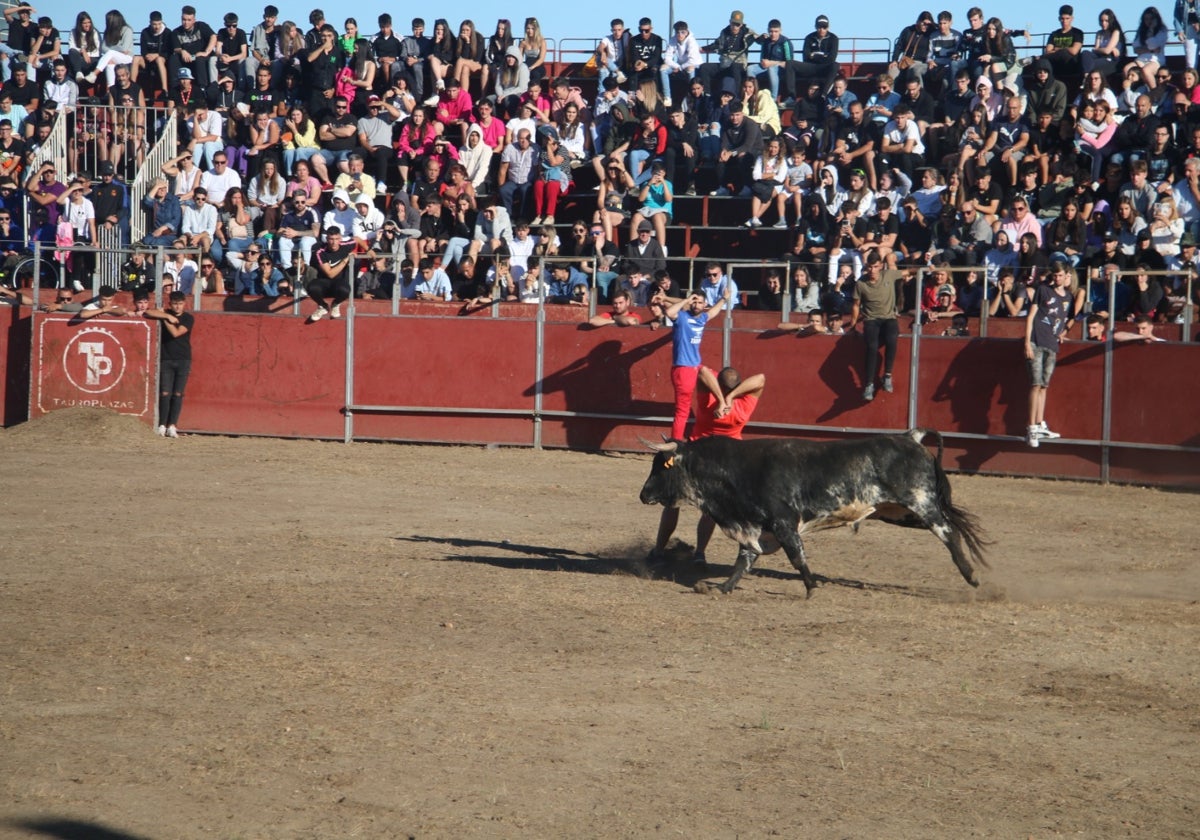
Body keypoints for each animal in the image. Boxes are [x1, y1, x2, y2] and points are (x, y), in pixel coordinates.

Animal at [638, 429, 984, 592]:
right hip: (901, 513)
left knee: (949, 534)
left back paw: (972, 577)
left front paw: (810, 586)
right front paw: (722, 588)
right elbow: (744, 560)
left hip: (921, 503)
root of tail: (911, 437)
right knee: (955, 527)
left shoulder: (783, 523)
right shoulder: (754, 527)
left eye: (662, 466)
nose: (643, 495)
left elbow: (796, 556)